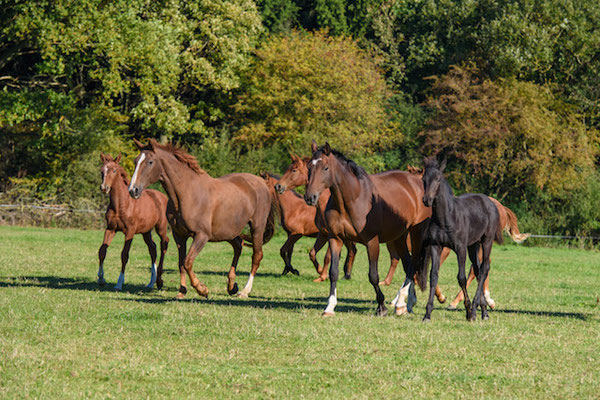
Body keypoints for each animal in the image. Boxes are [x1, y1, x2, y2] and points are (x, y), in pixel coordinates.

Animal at [97, 153, 169, 290]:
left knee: (164, 244)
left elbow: (124, 255)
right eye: (102, 171)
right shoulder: (110, 229)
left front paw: (119, 283)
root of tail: (163, 197)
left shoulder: (130, 231)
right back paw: (151, 282)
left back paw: (159, 281)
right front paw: (101, 278)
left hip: (161, 228)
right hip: (146, 231)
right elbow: (102, 251)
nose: (104, 188)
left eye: (114, 170)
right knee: (152, 249)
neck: (121, 204)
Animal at [128, 139, 276, 298]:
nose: (133, 190)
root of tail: (263, 183)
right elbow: (181, 263)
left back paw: (244, 291)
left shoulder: (201, 236)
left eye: (150, 162)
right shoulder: (179, 236)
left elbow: (188, 261)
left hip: (257, 228)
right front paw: (182, 291)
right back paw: (232, 287)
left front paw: (202, 289)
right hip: (227, 231)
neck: (187, 194)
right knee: (238, 245)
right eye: (135, 161)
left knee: (256, 256)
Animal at [304, 142, 432, 318]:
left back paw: (400, 302)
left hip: (415, 234)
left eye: (325, 168)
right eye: (309, 167)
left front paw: (381, 307)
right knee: (409, 265)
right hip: (399, 237)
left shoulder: (372, 242)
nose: (310, 197)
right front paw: (329, 307)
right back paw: (406, 304)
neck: (353, 199)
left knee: (413, 264)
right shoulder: (335, 239)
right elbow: (333, 272)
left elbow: (373, 276)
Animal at [420, 157, 504, 322]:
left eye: (438, 179)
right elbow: (433, 276)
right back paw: (484, 311)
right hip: (473, 245)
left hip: (486, 241)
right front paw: (427, 313)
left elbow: (461, 278)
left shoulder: (460, 248)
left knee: (484, 269)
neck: (445, 218)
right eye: (423, 179)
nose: (427, 200)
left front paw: (469, 311)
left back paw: (475, 309)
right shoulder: (435, 246)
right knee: (477, 270)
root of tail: (490, 202)